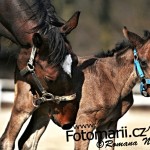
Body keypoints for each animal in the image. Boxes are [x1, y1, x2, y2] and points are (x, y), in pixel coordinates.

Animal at [14, 27, 150, 150]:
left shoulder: (109, 123)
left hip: (43, 112)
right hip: (24, 109)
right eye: (143, 62)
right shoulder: (84, 121)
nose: (148, 90)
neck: (111, 80)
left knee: (27, 142)